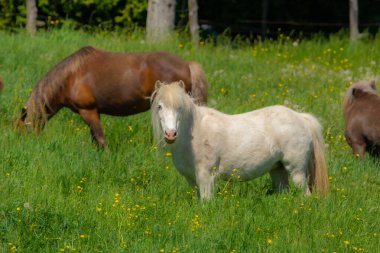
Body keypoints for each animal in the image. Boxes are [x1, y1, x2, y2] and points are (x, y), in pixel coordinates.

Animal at [17, 46, 208, 147]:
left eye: (21, 128)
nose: (27, 147)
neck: (71, 76)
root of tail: (187, 64)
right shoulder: (95, 112)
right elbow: (95, 139)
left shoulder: (88, 111)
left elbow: (101, 139)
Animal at [150, 81, 328, 200]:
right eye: (159, 106)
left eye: (179, 107)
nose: (170, 134)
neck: (194, 133)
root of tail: (301, 118)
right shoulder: (191, 179)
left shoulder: (206, 176)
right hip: (278, 170)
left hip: (297, 171)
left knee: (305, 194)